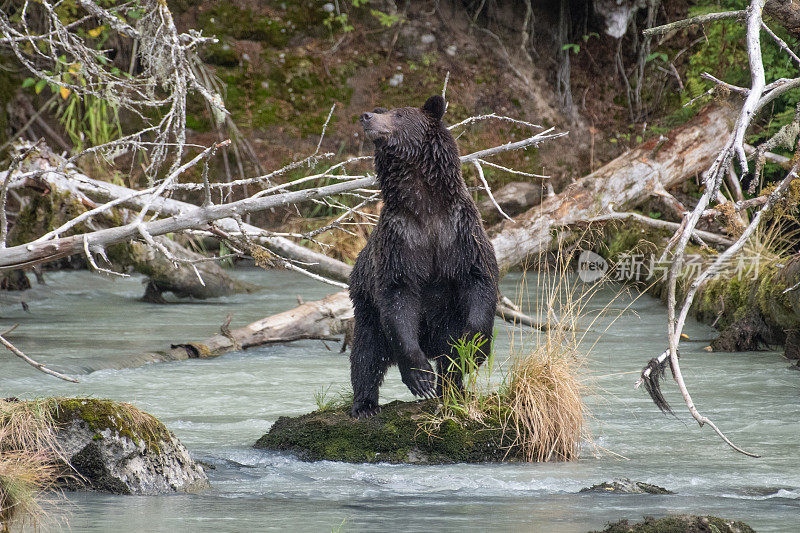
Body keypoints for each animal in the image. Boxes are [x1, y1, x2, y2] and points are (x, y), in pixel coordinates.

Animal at [352, 96, 500, 420]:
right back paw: (365, 404)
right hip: (365, 301)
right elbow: (399, 296)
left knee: (448, 355)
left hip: (446, 321)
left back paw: (453, 390)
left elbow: (480, 282)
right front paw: (420, 377)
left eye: (398, 114)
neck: (425, 204)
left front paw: (474, 352)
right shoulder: (401, 241)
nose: (366, 116)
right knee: (367, 352)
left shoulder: (461, 235)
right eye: (382, 111)